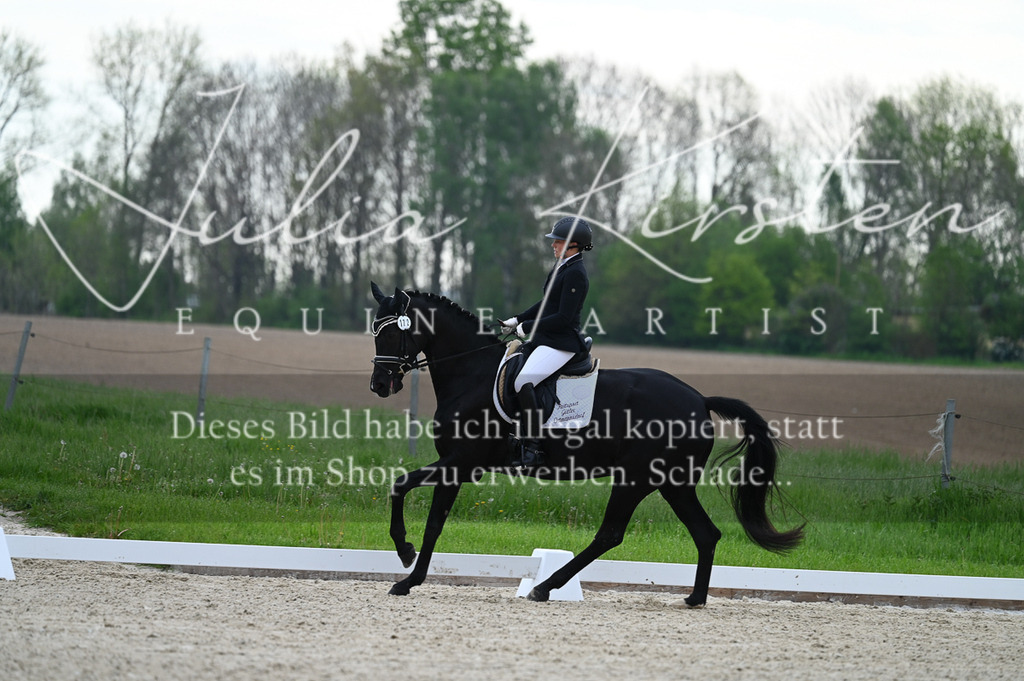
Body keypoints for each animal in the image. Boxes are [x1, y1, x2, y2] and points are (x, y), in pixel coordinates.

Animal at [368, 282, 802, 606]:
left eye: (391, 331)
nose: (379, 386)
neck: (470, 373)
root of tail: (699, 400)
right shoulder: (454, 465)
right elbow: (422, 511)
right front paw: (407, 569)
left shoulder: (459, 461)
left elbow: (411, 498)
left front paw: (405, 562)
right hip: (672, 484)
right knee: (705, 533)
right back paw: (694, 598)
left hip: (636, 479)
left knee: (611, 534)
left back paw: (545, 588)